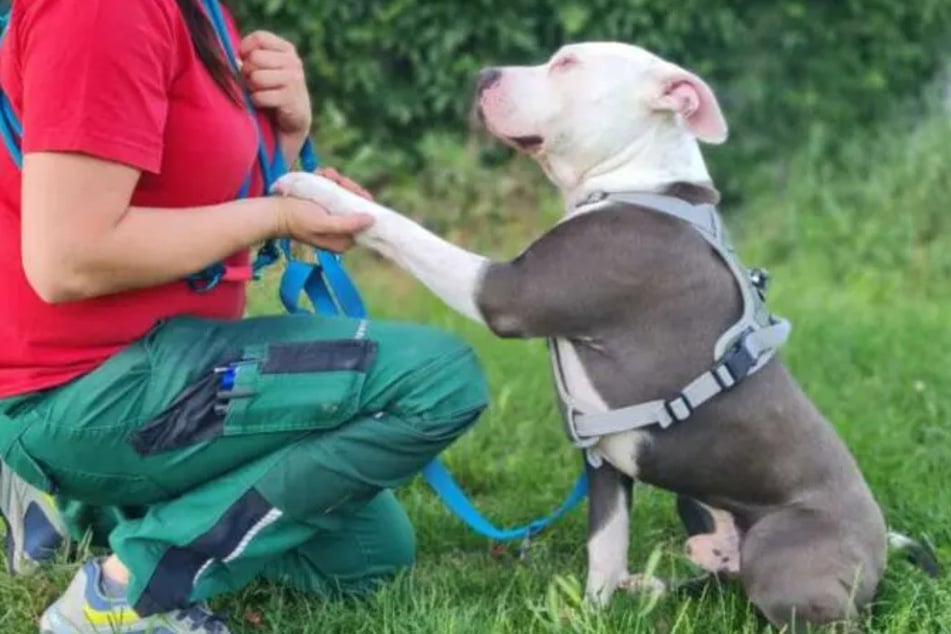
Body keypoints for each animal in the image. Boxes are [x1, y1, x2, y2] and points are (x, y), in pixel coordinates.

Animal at [278, 43, 936, 628]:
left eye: (567, 62)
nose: (485, 74)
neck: (637, 183)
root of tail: (881, 541)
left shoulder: (504, 293)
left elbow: (402, 228)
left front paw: (316, 188)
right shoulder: (604, 464)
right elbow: (605, 547)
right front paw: (593, 610)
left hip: (784, 558)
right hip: (698, 505)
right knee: (715, 582)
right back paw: (654, 584)